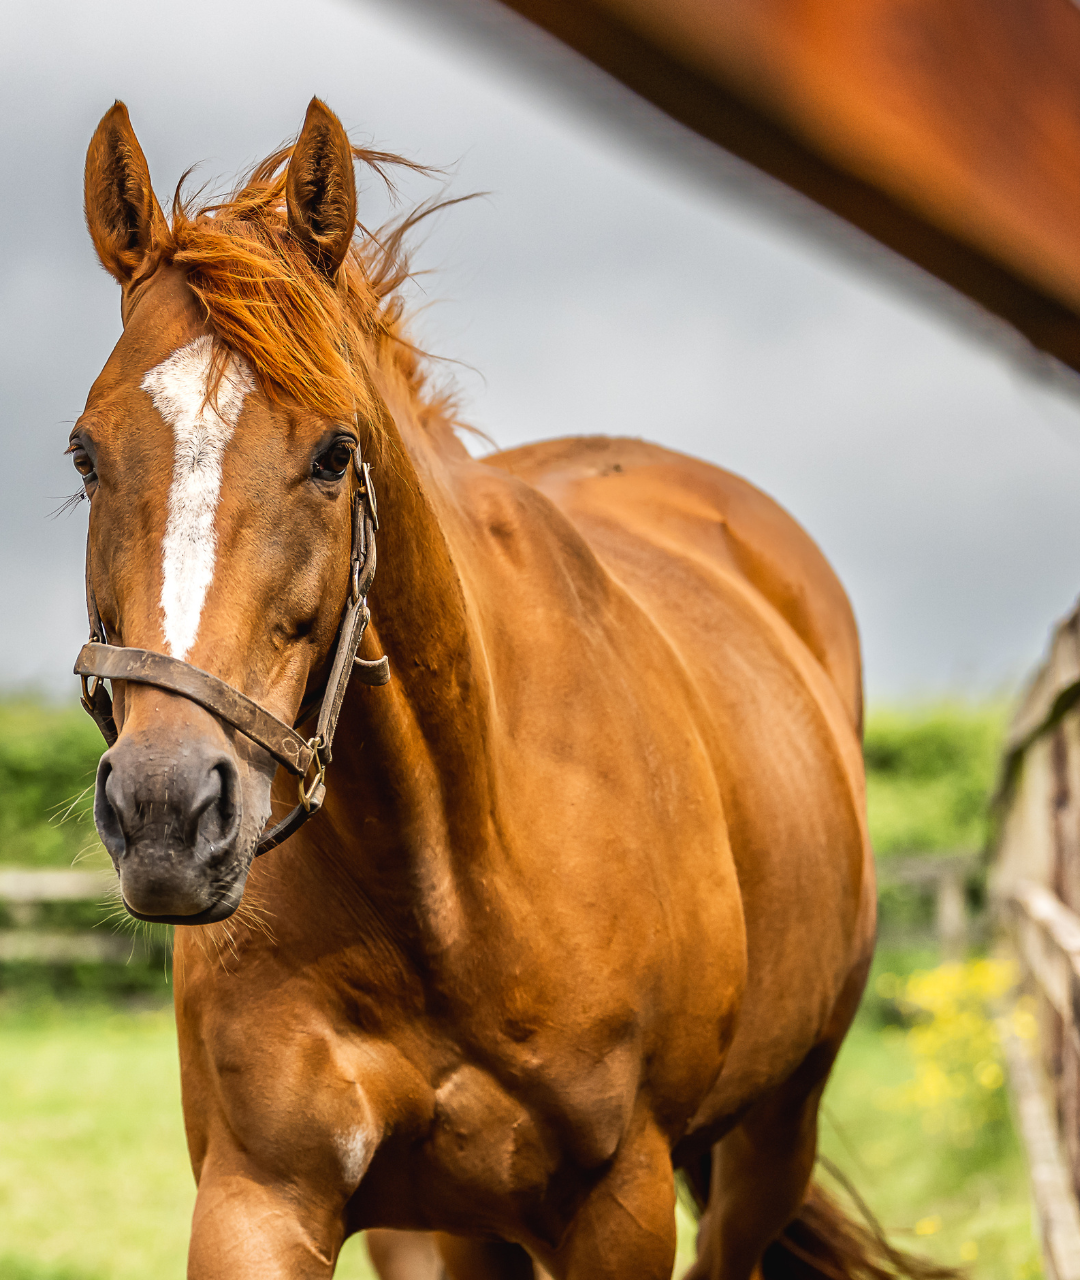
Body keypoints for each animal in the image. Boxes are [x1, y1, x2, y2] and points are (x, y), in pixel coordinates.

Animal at [72, 97, 880, 1280]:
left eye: (335, 452)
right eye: (86, 455)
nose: (168, 812)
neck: (448, 875)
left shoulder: (621, 1204)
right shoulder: (262, 1195)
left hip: (775, 1138)